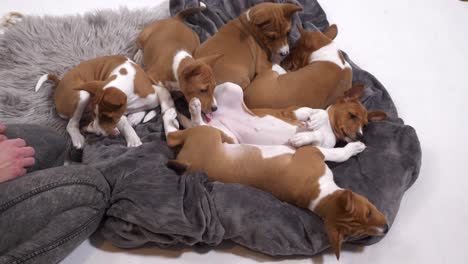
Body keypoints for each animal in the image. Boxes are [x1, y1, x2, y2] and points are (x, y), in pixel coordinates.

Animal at [35, 54, 178, 150]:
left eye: (108, 117)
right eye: (95, 114)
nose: (100, 134)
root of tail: (59, 82)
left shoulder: (153, 95)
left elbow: (154, 105)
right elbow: (123, 121)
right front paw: (132, 138)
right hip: (82, 95)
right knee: (72, 125)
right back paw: (79, 138)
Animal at [166, 125, 390, 260]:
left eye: (359, 233)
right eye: (368, 211)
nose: (386, 229)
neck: (319, 196)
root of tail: (186, 164)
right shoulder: (314, 152)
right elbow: (336, 152)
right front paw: (353, 147)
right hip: (207, 133)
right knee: (172, 136)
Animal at [183, 82, 388, 148]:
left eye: (365, 125)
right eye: (352, 116)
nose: (360, 136)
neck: (329, 129)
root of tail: (216, 118)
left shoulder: (321, 147)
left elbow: (316, 136)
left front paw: (303, 136)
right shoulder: (290, 111)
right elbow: (315, 112)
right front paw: (316, 118)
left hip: (229, 137)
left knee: (200, 124)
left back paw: (196, 111)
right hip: (232, 87)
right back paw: (201, 105)